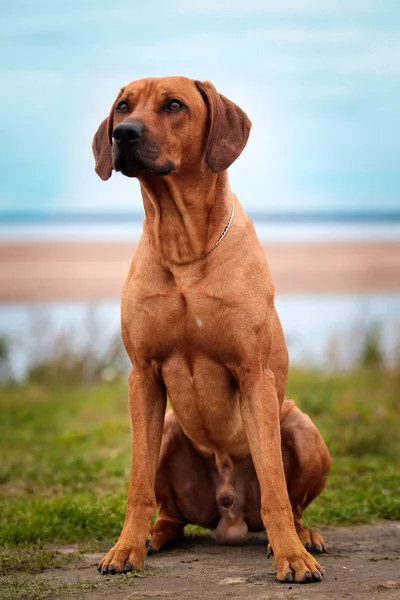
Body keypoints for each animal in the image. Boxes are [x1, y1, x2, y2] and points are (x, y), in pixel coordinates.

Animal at [93, 75, 332, 580]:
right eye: (123, 106)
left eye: (174, 105)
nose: (123, 133)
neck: (184, 248)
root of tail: (230, 516)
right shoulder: (142, 375)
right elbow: (137, 485)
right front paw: (125, 548)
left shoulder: (253, 373)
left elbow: (276, 487)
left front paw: (291, 556)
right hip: (168, 431)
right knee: (171, 513)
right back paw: (154, 536)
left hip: (301, 427)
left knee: (294, 503)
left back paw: (302, 537)